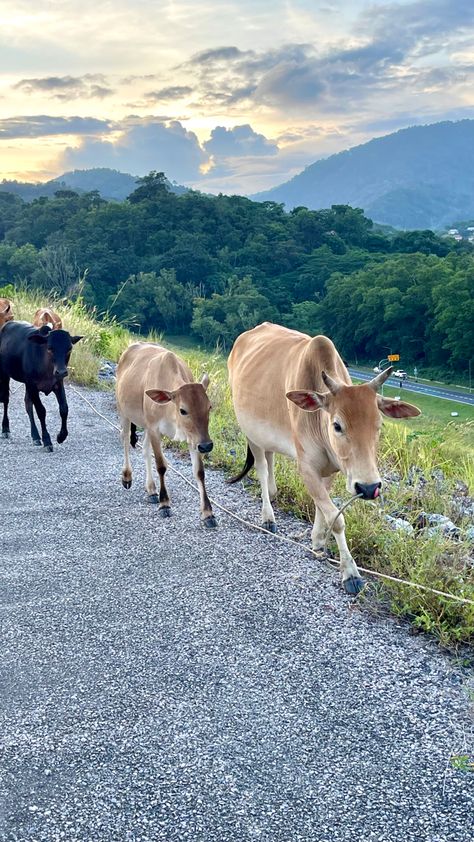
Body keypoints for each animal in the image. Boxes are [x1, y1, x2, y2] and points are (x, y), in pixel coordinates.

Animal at [0, 320, 83, 450]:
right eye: (50, 348)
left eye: (69, 348)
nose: (61, 372)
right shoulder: (33, 386)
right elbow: (41, 411)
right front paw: (47, 440)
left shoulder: (58, 384)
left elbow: (64, 408)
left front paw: (61, 436)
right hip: (5, 374)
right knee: (6, 399)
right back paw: (5, 429)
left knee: (27, 404)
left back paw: (35, 436)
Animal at [116, 340, 217, 524]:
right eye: (183, 410)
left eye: (209, 407)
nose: (207, 446)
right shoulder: (155, 429)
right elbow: (161, 466)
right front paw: (164, 504)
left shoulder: (193, 438)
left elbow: (199, 472)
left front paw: (208, 513)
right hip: (124, 411)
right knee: (125, 440)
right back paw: (127, 476)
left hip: (146, 424)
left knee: (145, 450)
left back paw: (151, 489)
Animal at [228, 322, 420, 592]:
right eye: (337, 425)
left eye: (379, 424)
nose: (368, 487)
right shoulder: (307, 467)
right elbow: (336, 518)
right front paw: (350, 573)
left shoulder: (331, 469)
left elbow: (324, 506)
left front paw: (318, 542)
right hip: (250, 432)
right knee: (262, 469)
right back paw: (268, 517)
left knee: (270, 459)